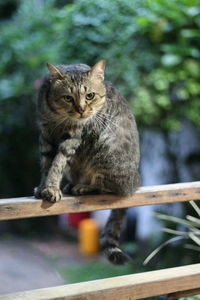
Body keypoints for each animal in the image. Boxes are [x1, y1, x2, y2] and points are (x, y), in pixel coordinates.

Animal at [34, 59, 140, 264]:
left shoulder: (73, 138)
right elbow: (45, 164)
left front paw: (51, 188)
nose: (82, 110)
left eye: (90, 96)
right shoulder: (45, 136)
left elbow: (57, 164)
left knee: (111, 188)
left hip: (105, 150)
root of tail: (137, 182)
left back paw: (83, 187)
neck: (58, 118)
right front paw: (43, 187)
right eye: (68, 98)